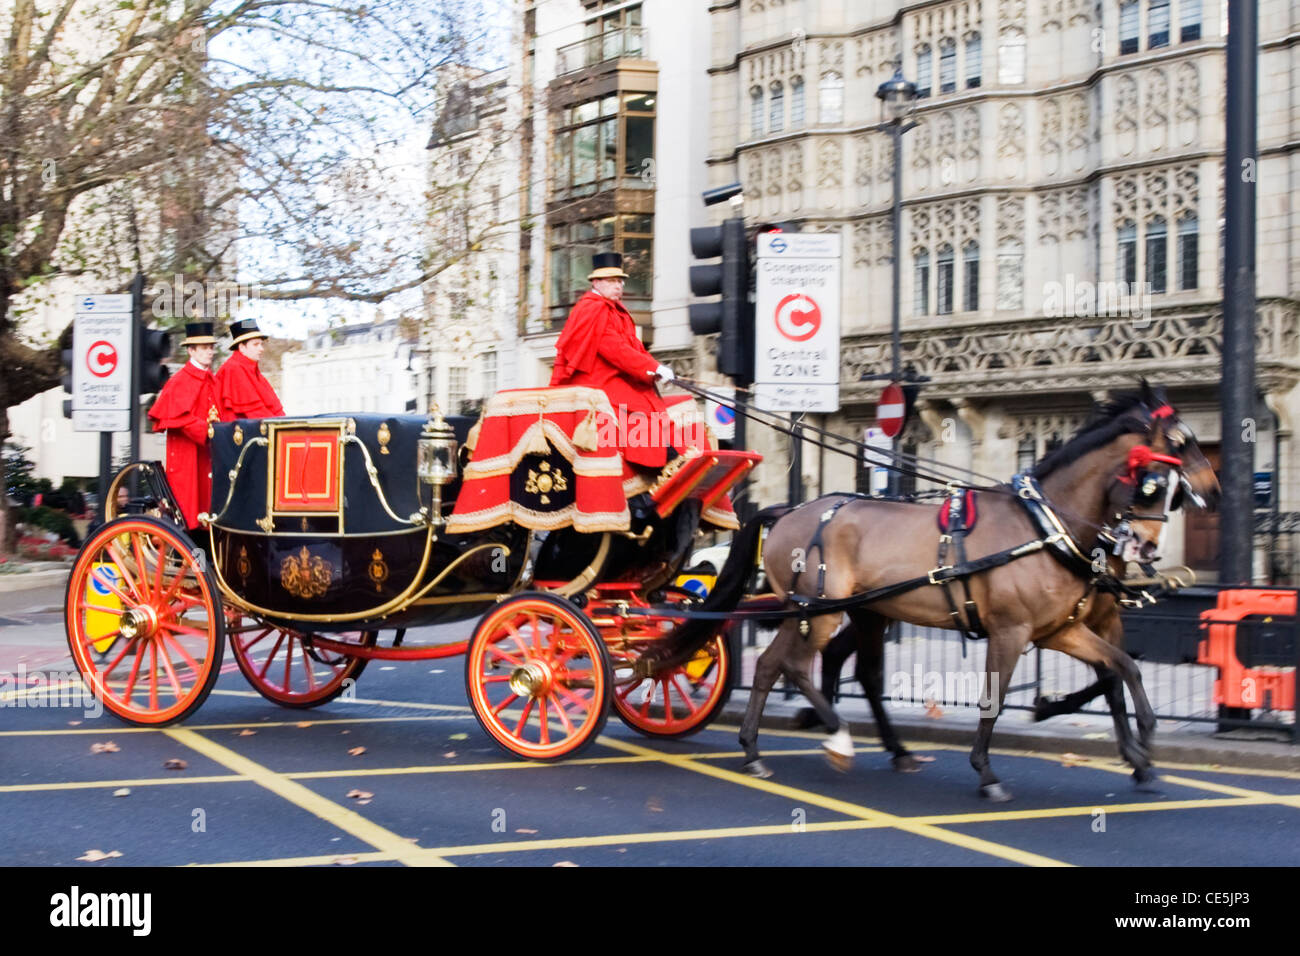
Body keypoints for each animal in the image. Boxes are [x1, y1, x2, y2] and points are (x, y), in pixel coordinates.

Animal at [672, 385, 1211, 801]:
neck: (1045, 527)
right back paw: (836, 736)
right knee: (795, 666)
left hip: (841, 611)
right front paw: (987, 773)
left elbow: (1122, 668)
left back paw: (763, 748)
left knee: (779, 666)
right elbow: (996, 698)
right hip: (818, 611)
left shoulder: (1062, 629)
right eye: (1152, 481)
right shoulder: (1011, 630)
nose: (1145, 545)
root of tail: (790, 511)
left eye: (1171, 488)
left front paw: (1142, 744)